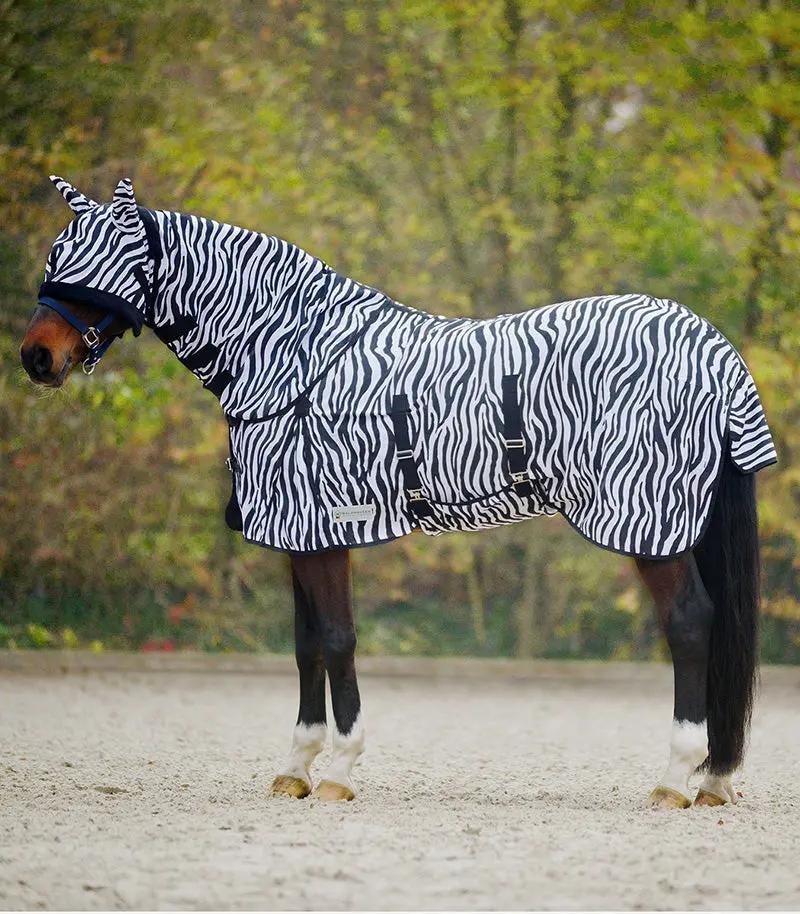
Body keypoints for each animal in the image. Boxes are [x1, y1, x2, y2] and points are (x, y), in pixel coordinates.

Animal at [20, 175, 776, 809]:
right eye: (58, 252)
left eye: (100, 263)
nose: (36, 357)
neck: (293, 358)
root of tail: (714, 350)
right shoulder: (300, 535)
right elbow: (306, 644)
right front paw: (295, 768)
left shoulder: (326, 528)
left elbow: (337, 639)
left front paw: (339, 771)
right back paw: (713, 780)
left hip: (653, 525)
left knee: (690, 624)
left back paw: (676, 779)